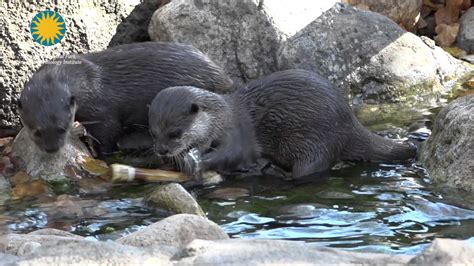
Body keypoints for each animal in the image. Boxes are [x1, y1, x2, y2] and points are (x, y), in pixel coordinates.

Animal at [18, 42, 233, 155]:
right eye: (36, 131)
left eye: (63, 128)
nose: (52, 149)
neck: (88, 81)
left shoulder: (103, 112)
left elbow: (109, 134)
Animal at [148, 69, 414, 179]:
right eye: (153, 132)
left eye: (175, 133)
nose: (161, 150)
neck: (221, 118)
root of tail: (350, 125)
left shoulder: (236, 133)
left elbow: (233, 154)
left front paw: (200, 163)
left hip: (317, 145)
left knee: (309, 170)